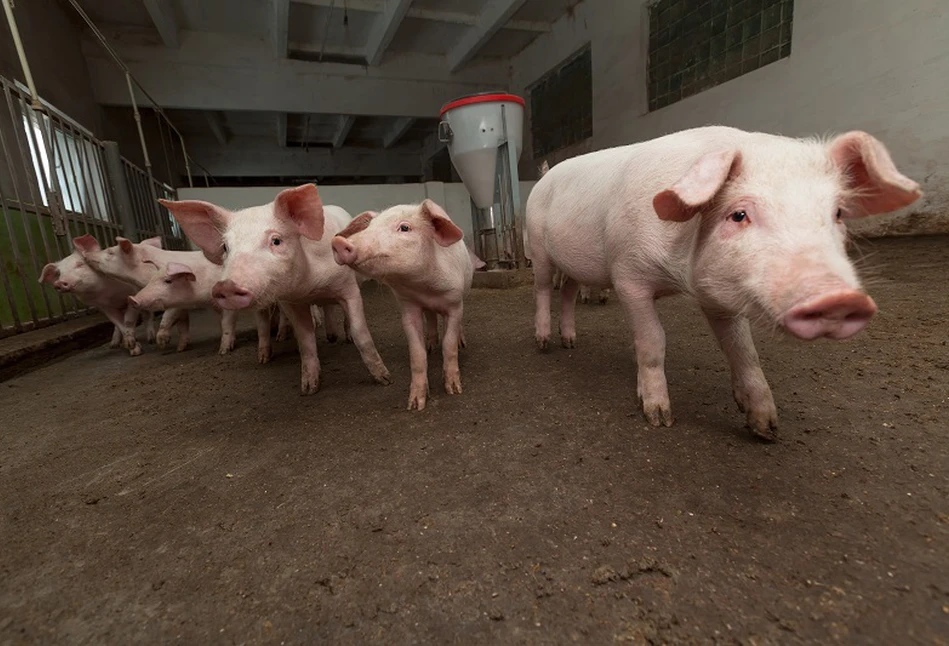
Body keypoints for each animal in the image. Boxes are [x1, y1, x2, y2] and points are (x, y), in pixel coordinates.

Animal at [159, 184, 388, 394]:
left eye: (276, 241)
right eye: (225, 247)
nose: (226, 286)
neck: (310, 285)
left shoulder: (348, 287)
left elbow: (360, 332)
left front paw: (383, 379)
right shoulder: (291, 302)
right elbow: (305, 340)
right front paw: (308, 389)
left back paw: (341, 338)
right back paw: (271, 356)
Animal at [332, 200, 472, 410]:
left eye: (405, 228)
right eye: (369, 226)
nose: (338, 242)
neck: (425, 288)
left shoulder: (454, 303)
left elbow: (449, 344)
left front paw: (454, 390)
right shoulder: (408, 307)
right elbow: (416, 354)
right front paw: (415, 405)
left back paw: (460, 342)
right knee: (431, 318)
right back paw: (431, 346)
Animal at [524, 126, 920, 440]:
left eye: (837, 213)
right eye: (738, 215)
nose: (838, 298)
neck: (679, 276)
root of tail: (545, 176)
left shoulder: (719, 296)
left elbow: (743, 349)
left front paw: (766, 429)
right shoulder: (628, 275)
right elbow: (652, 341)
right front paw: (659, 418)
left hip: (574, 265)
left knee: (568, 293)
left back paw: (570, 342)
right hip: (539, 249)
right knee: (543, 290)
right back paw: (544, 344)